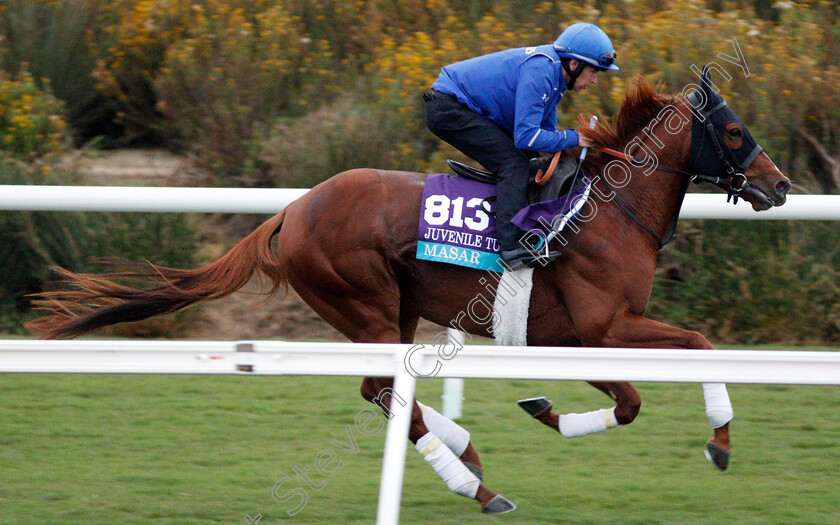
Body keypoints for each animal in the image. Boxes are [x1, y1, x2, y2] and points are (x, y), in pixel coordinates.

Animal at [26, 75, 788, 512]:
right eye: (733, 130)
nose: (779, 185)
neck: (607, 209)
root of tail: (292, 210)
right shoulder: (602, 329)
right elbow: (672, 366)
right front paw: (718, 440)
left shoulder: (584, 336)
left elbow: (658, 378)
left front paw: (549, 410)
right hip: (361, 299)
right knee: (385, 390)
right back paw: (476, 485)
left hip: (394, 307)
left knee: (382, 391)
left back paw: (467, 452)